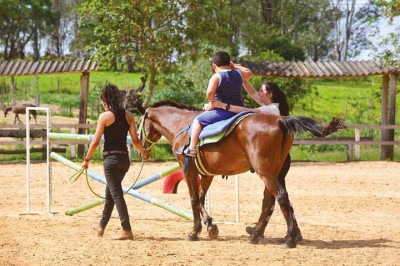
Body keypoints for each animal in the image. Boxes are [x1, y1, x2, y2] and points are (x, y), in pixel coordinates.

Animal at [138, 100, 344, 247]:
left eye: (140, 123)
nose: (141, 150)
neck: (182, 124)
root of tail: (281, 119)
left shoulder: (188, 170)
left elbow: (194, 199)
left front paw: (195, 231)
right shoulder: (207, 175)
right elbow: (202, 198)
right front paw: (210, 225)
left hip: (266, 173)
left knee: (281, 197)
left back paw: (289, 239)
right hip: (274, 173)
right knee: (270, 201)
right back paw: (257, 234)